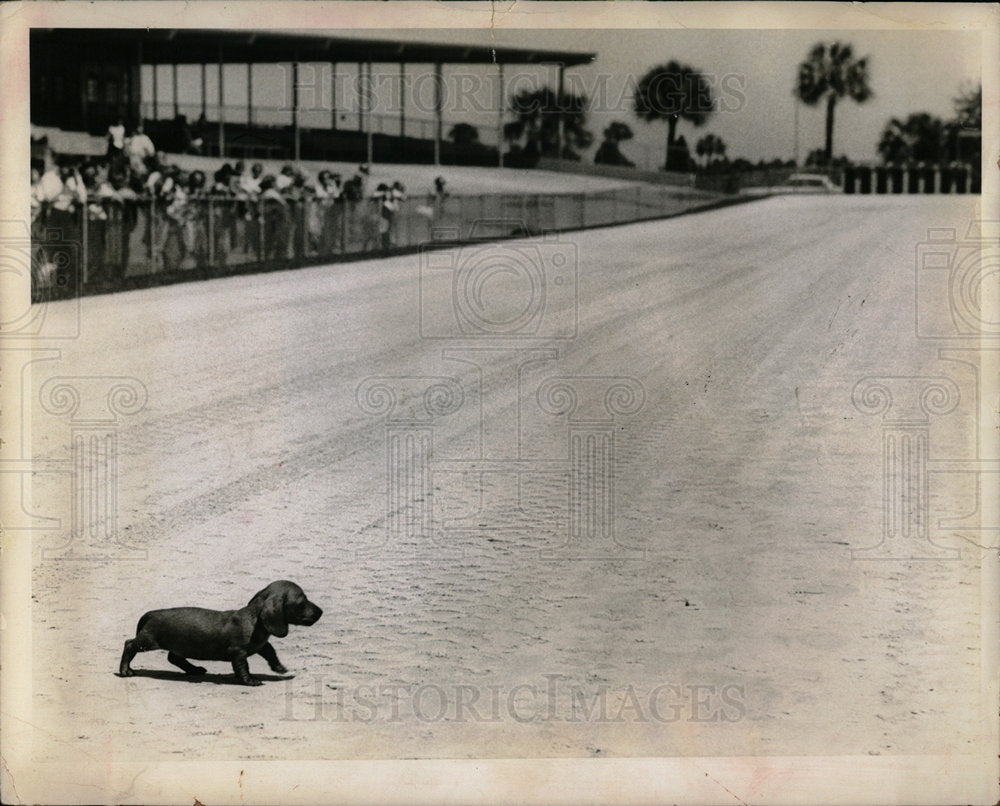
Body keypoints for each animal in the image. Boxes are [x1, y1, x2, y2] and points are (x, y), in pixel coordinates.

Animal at [117, 580, 322, 688]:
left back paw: (194, 670)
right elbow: (243, 667)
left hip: (179, 645)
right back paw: (126, 671)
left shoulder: (262, 645)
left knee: (174, 658)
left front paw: (279, 668)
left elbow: (271, 652)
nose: (321, 612)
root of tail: (150, 614)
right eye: (302, 602)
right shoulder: (237, 652)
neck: (253, 620)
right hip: (148, 641)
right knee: (129, 644)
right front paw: (250, 680)